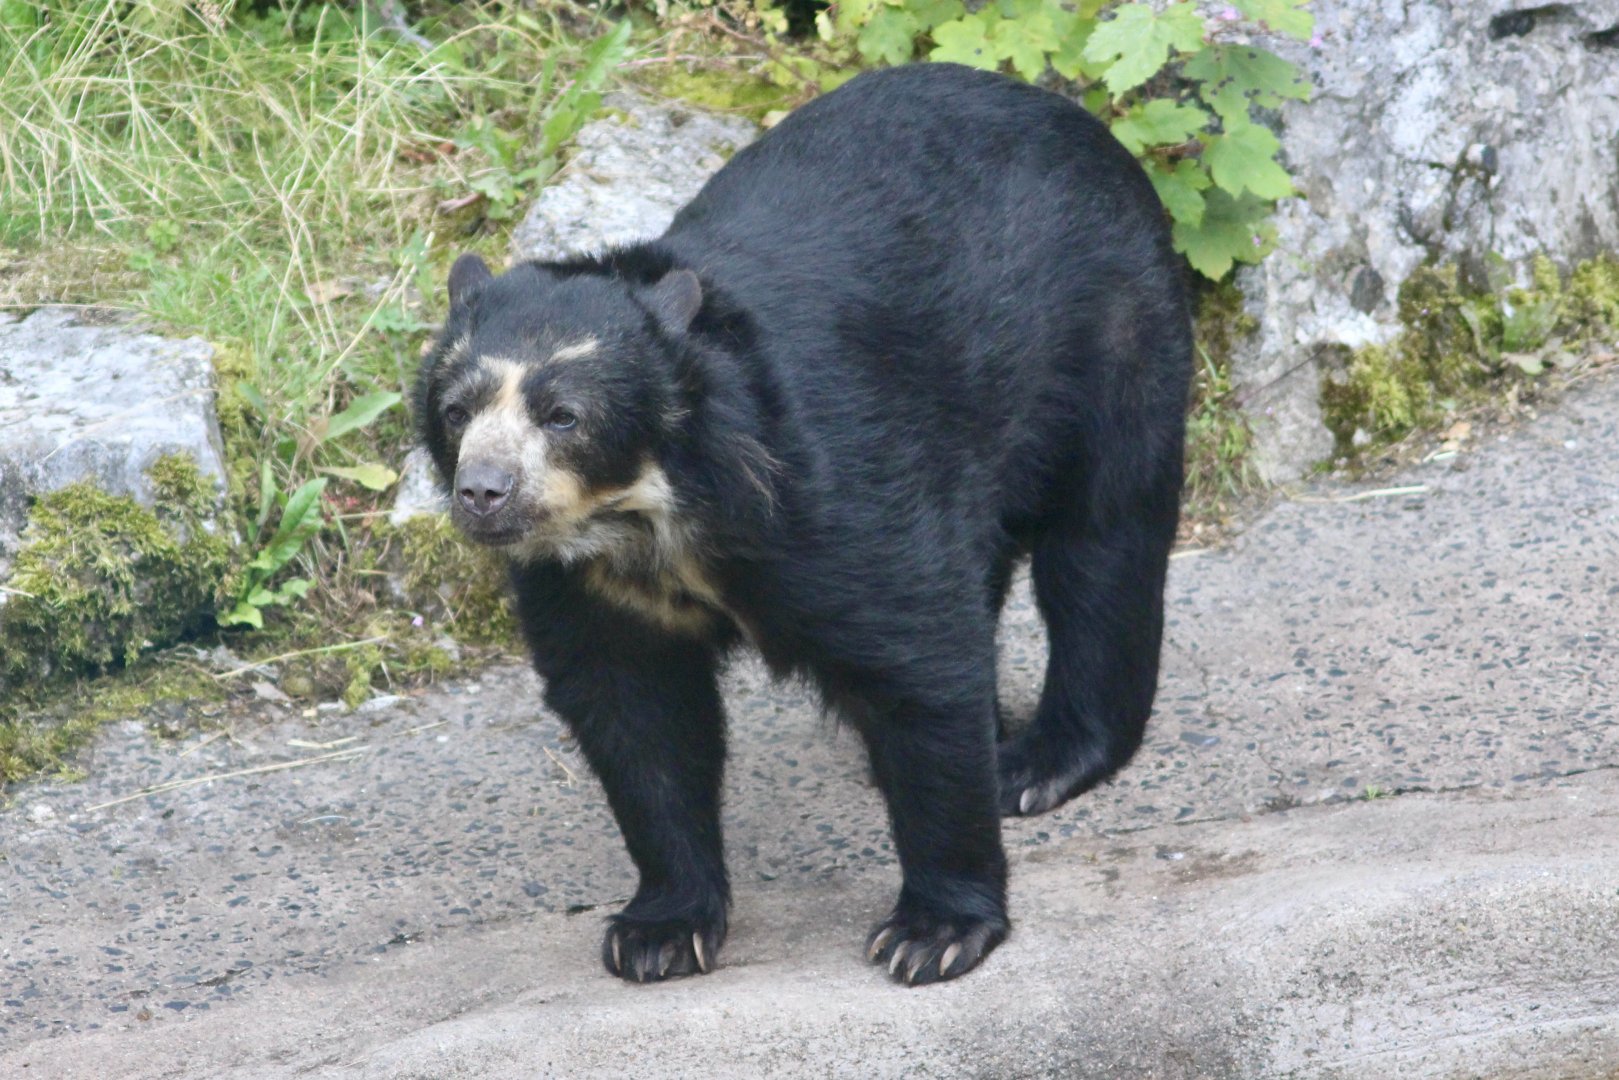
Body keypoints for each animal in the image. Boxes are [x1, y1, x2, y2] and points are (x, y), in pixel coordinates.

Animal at [415, 62, 1192, 986]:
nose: (483, 493)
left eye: (563, 414)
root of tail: (1075, 120)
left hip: (1109, 331)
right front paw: (658, 931)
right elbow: (633, 713)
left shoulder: (827, 490)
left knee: (1100, 543)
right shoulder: (586, 582)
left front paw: (933, 931)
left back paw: (1041, 759)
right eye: (456, 411)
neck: (653, 513)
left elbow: (915, 646)